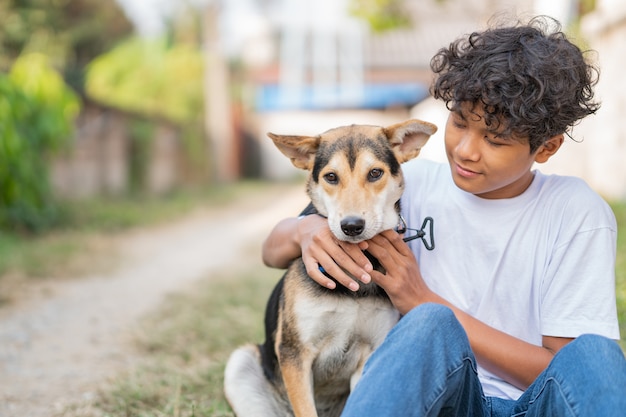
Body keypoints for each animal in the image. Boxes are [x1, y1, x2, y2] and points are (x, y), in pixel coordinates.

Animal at [223, 118, 434, 414]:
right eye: (331, 177)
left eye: (375, 173)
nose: (352, 226)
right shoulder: (295, 354)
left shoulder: (370, 354)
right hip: (241, 364)